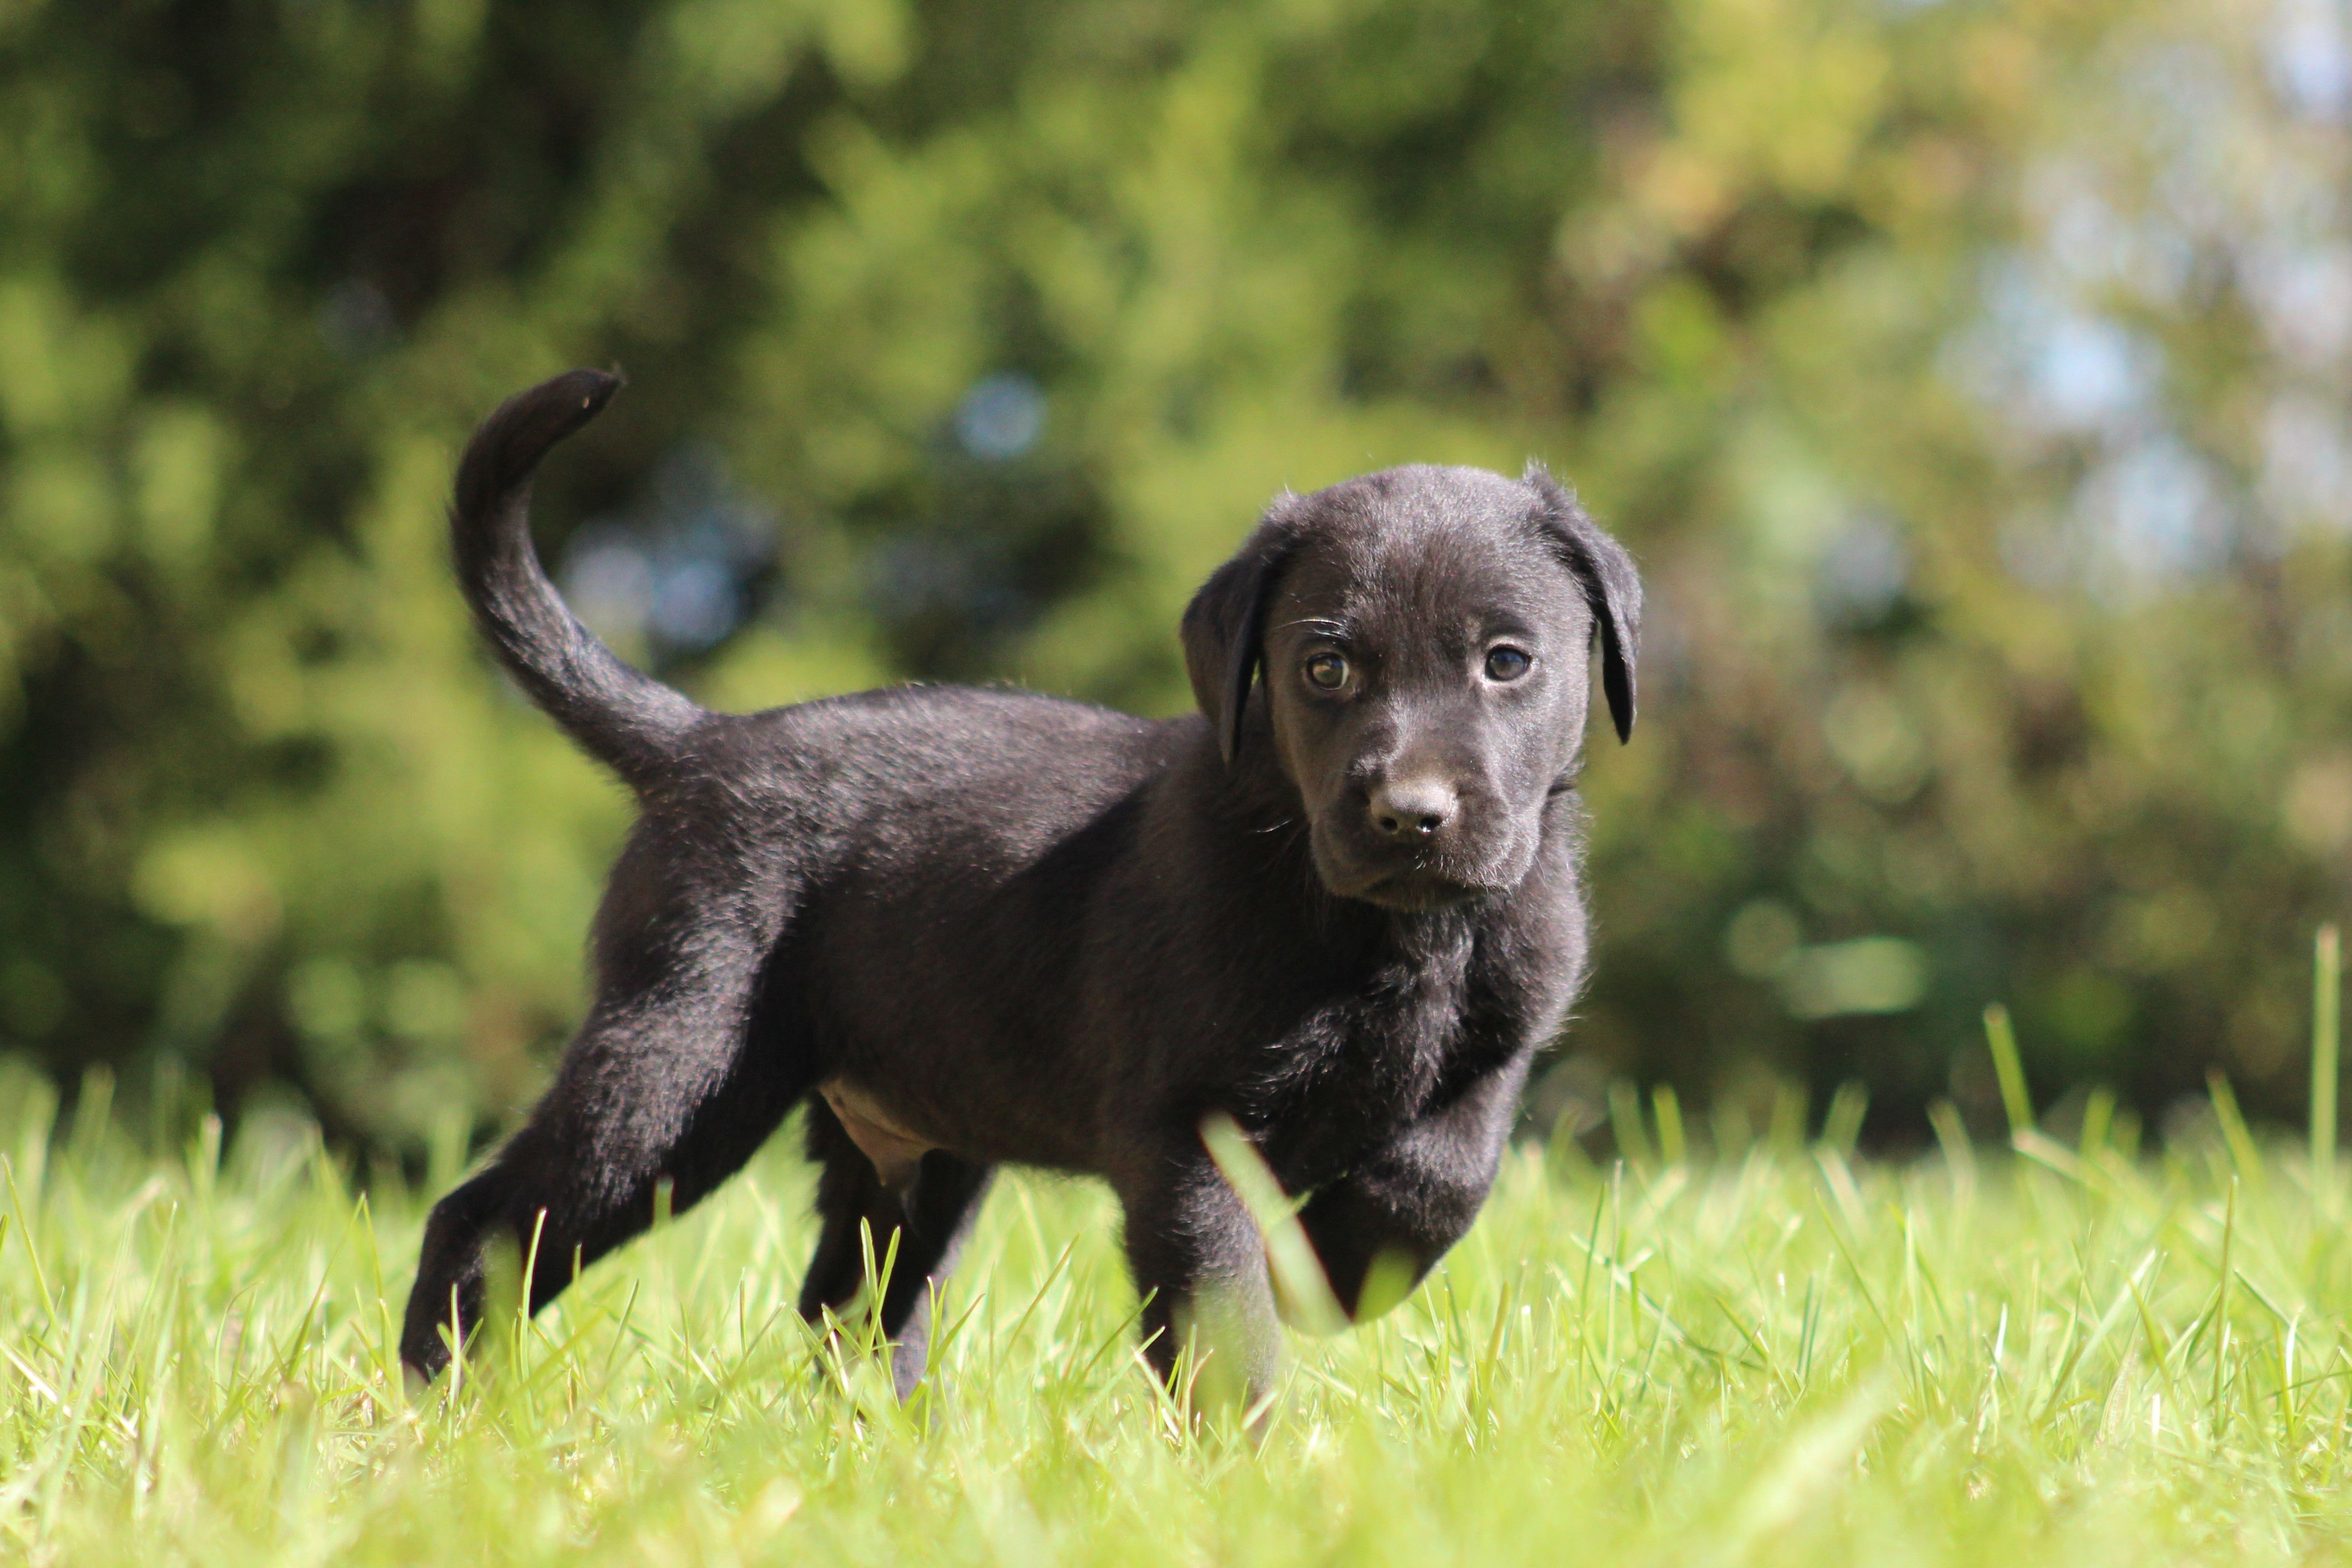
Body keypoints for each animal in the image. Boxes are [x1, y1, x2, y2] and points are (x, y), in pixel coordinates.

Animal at [400, 371, 1637, 1410]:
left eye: (1507, 660)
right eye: (1324, 667)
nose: (1410, 815)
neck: (1396, 933)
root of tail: (702, 742)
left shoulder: (1496, 1045)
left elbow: (1443, 1174)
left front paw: (1333, 1269)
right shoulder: (1184, 1130)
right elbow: (1221, 1313)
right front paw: (1243, 1451)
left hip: (912, 1149)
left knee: (853, 1304)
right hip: (678, 1065)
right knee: (485, 1217)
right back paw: (443, 1407)